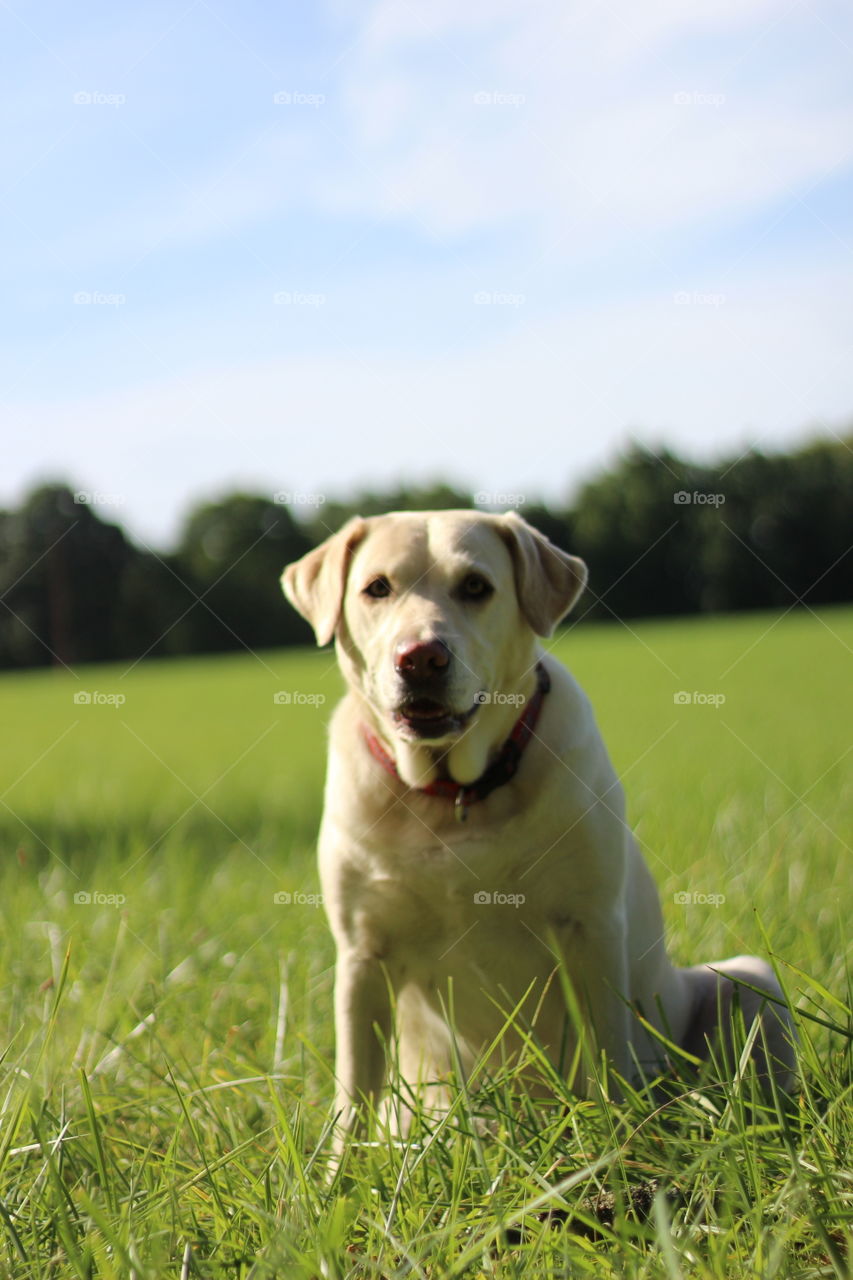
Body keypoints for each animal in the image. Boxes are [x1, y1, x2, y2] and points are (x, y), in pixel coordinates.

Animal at [281, 509, 794, 1141]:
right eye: (377, 587)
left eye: (476, 586)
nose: (421, 657)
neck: (455, 795)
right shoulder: (362, 955)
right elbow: (353, 1093)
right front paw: (340, 1170)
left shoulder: (590, 927)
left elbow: (607, 1055)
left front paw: (621, 1145)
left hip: (748, 980)